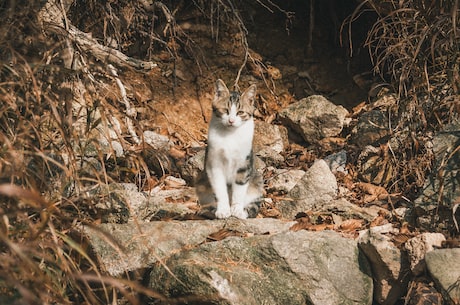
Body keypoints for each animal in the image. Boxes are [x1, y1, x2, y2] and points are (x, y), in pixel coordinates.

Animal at [195, 78, 262, 218]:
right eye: (225, 110)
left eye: (240, 112)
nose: (231, 121)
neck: (230, 135)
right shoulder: (214, 164)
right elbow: (220, 189)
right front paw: (223, 210)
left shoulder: (244, 164)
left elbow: (239, 189)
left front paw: (236, 210)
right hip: (200, 180)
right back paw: (208, 211)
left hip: (257, 180)